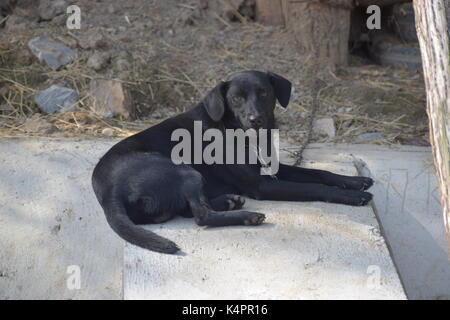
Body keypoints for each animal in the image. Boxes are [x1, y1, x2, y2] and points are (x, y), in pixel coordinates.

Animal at [91, 71, 372, 254]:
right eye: (236, 98)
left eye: (264, 93)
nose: (256, 119)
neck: (240, 133)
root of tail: (108, 193)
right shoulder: (262, 185)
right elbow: (314, 187)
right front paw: (352, 196)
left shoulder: (271, 169)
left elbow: (320, 173)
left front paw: (355, 181)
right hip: (184, 171)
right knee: (200, 216)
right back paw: (246, 215)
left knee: (189, 209)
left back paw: (229, 201)